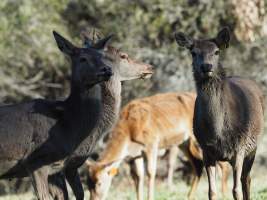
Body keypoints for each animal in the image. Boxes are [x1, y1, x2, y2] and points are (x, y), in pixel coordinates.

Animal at [86, 92, 230, 200]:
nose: (94, 199)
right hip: (184, 142)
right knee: (198, 164)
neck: (129, 132)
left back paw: (224, 194)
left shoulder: (151, 143)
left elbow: (151, 171)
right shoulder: (136, 153)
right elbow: (139, 175)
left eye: (99, 182)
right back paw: (189, 196)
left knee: (222, 164)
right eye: (88, 183)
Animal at [176, 27, 266, 200]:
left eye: (216, 51)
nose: (207, 66)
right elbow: (212, 191)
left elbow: (236, 190)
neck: (219, 134)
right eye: (193, 52)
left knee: (246, 179)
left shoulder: (240, 147)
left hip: (254, 146)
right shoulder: (206, 151)